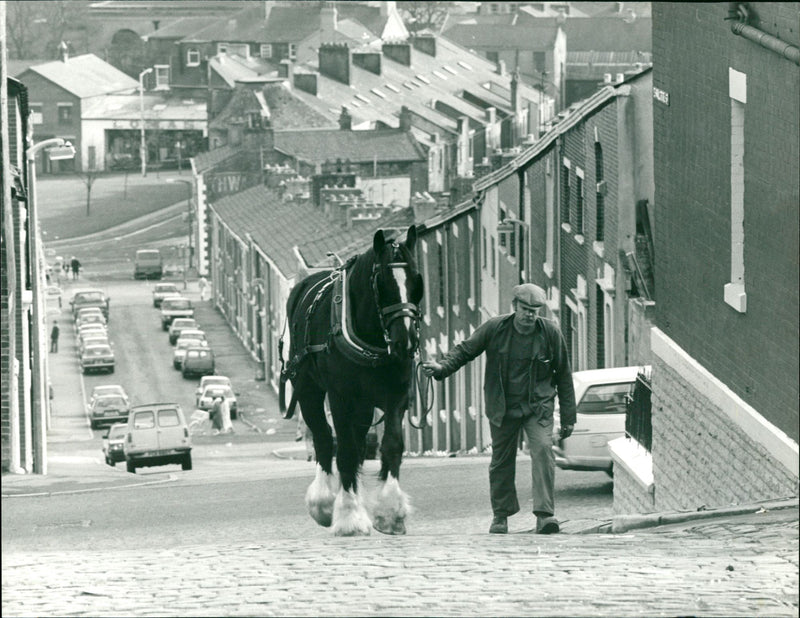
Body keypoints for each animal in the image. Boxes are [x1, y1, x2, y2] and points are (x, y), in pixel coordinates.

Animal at [282, 225, 424, 536]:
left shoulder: (397, 395)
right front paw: (349, 517)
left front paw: (390, 512)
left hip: (363, 405)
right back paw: (324, 503)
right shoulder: (340, 397)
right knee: (324, 439)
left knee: (357, 445)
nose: (406, 342)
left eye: (417, 280)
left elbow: (391, 445)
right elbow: (343, 449)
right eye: (383, 282)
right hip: (309, 391)